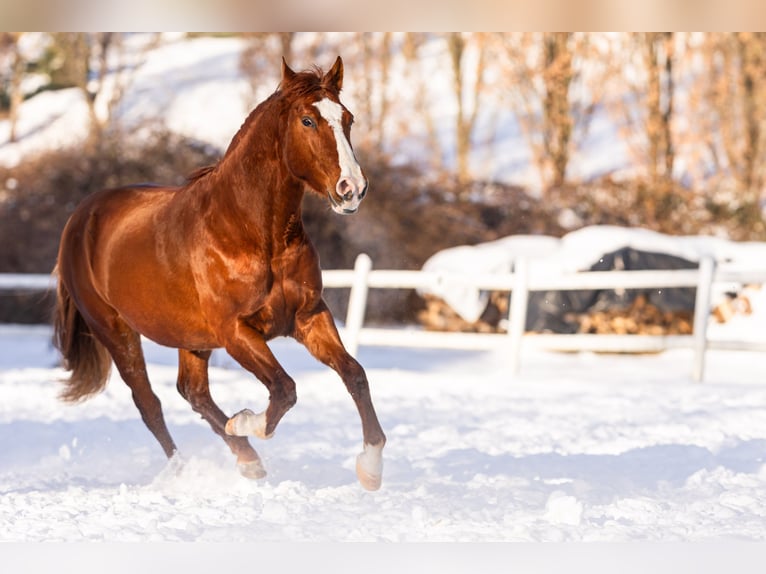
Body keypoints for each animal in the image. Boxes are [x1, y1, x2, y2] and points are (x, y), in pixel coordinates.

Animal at [52, 57, 386, 491]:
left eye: (348, 118)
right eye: (308, 120)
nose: (352, 189)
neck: (250, 231)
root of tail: (80, 217)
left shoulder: (310, 316)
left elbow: (354, 374)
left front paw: (371, 467)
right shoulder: (235, 331)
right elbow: (284, 389)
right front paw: (245, 421)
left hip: (190, 337)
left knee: (192, 392)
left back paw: (246, 459)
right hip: (116, 331)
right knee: (150, 403)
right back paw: (190, 468)